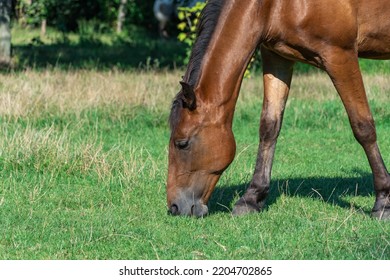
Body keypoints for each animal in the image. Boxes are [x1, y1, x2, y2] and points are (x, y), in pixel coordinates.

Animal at [167, 0, 390, 219]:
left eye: (182, 144)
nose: (175, 208)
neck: (272, 6)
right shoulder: (278, 57)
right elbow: (269, 127)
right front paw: (251, 198)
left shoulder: (340, 55)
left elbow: (362, 127)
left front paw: (383, 202)